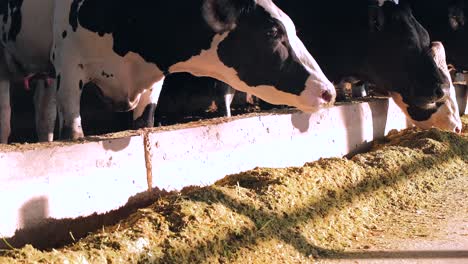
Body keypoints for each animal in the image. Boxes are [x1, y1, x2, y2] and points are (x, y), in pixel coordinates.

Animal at [49, 0, 336, 140]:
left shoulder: (153, 81)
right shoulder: (68, 64)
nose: (329, 93)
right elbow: (73, 132)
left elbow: (144, 125)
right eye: (272, 32)